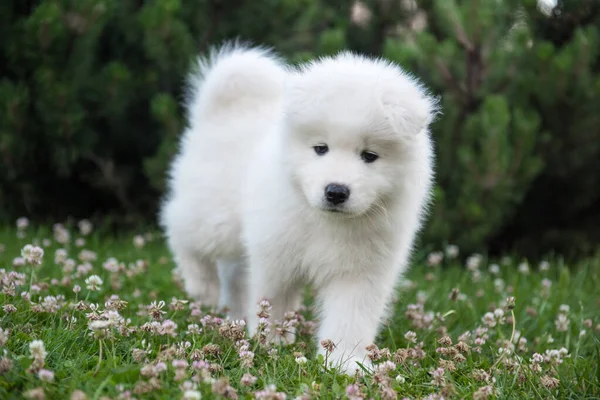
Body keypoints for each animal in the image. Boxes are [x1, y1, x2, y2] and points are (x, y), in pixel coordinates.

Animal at [162, 42, 438, 374]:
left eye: (369, 156)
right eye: (321, 148)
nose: (336, 191)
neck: (326, 222)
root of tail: (227, 110)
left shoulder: (361, 272)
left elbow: (350, 318)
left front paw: (345, 362)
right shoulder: (276, 255)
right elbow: (272, 301)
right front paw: (270, 343)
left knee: (233, 273)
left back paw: (233, 316)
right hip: (215, 216)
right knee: (178, 226)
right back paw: (202, 286)